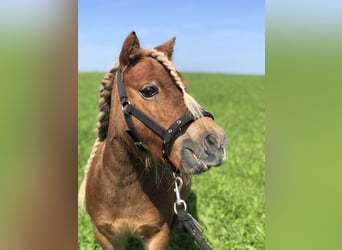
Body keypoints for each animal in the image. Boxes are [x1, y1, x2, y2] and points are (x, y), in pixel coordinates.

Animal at [79, 31, 226, 250]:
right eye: (149, 90)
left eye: (184, 86)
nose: (215, 142)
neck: (122, 185)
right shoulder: (105, 235)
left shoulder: (158, 235)